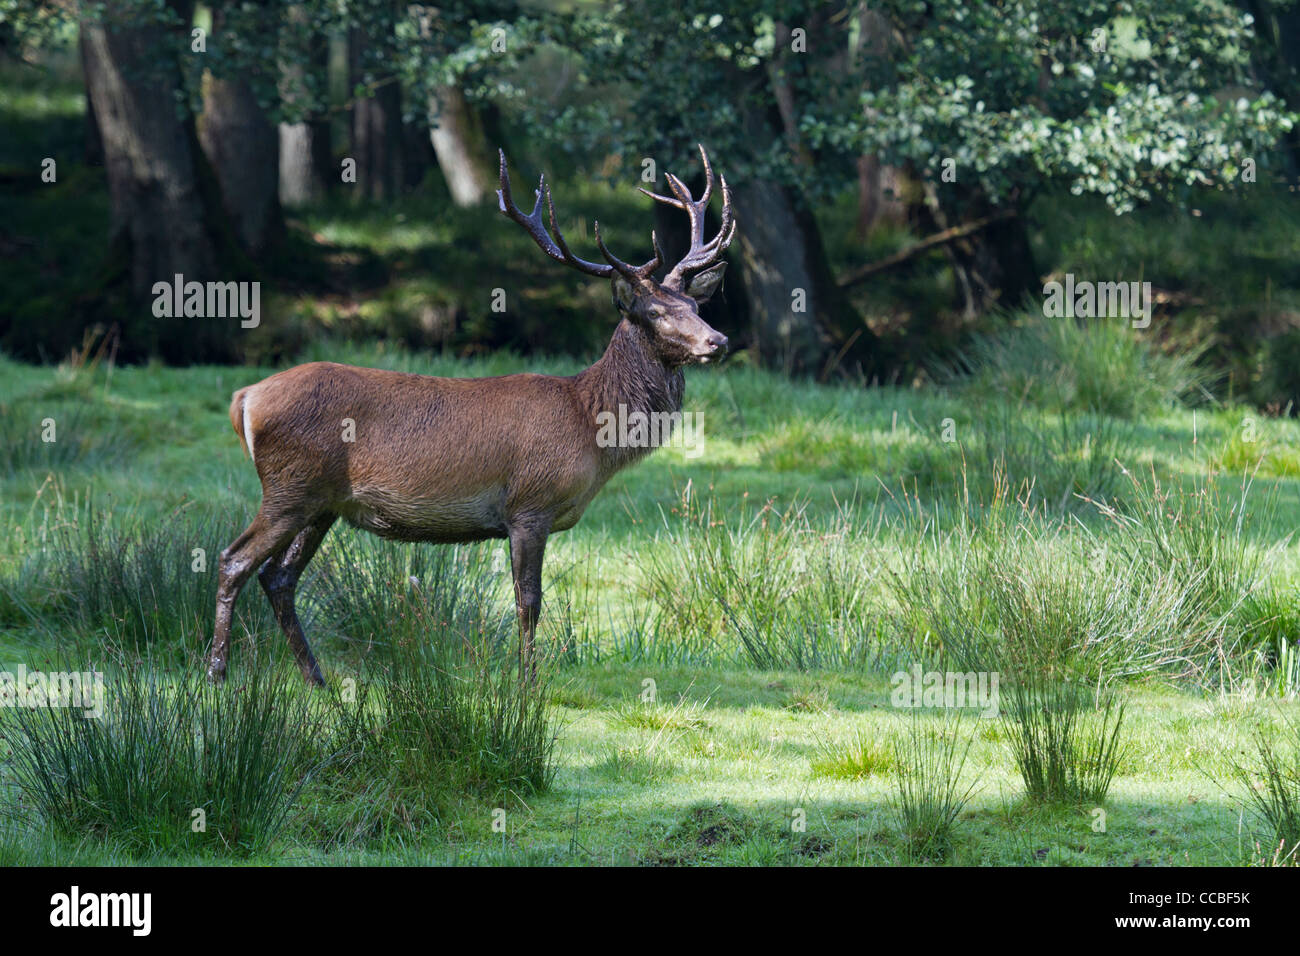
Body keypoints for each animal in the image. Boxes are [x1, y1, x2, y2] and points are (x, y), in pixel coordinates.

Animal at [206, 145, 736, 686]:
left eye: (695, 305)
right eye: (655, 313)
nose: (718, 341)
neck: (590, 427)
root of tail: (245, 397)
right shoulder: (529, 504)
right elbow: (529, 601)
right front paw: (527, 683)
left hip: (322, 502)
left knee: (279, 577)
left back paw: (317, 679)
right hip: (289, 485)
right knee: (232, 560)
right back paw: (217, 673)